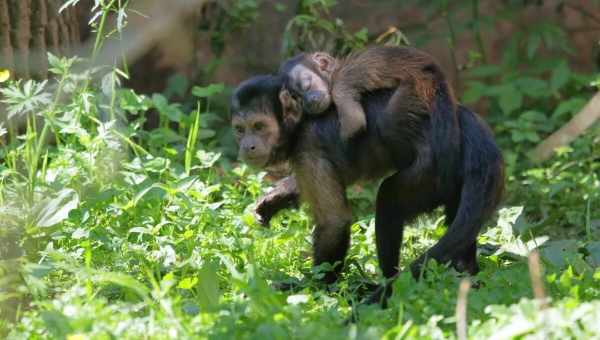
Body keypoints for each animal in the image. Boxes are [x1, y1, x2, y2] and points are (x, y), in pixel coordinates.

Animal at [282, 46, 454, 139]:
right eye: (297, 97)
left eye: (307, 85)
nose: (308, 101)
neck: (336, 73)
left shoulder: (341, 85)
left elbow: (354, 123)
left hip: (419, 87)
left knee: (387, 123)